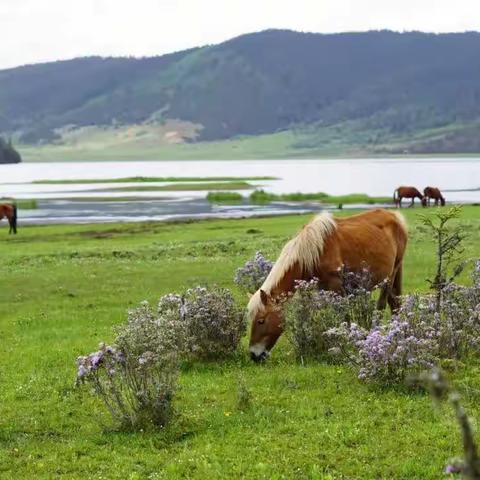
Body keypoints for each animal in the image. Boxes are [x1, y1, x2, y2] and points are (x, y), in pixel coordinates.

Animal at [248, 208, 408, 362]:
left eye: (261, 321)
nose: (254, 355)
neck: (316, 251)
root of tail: (395, 217)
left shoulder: (336, 287)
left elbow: (343, 316)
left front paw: (346, 342)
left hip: (391, 275)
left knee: (382, 304)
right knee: (394, 303)